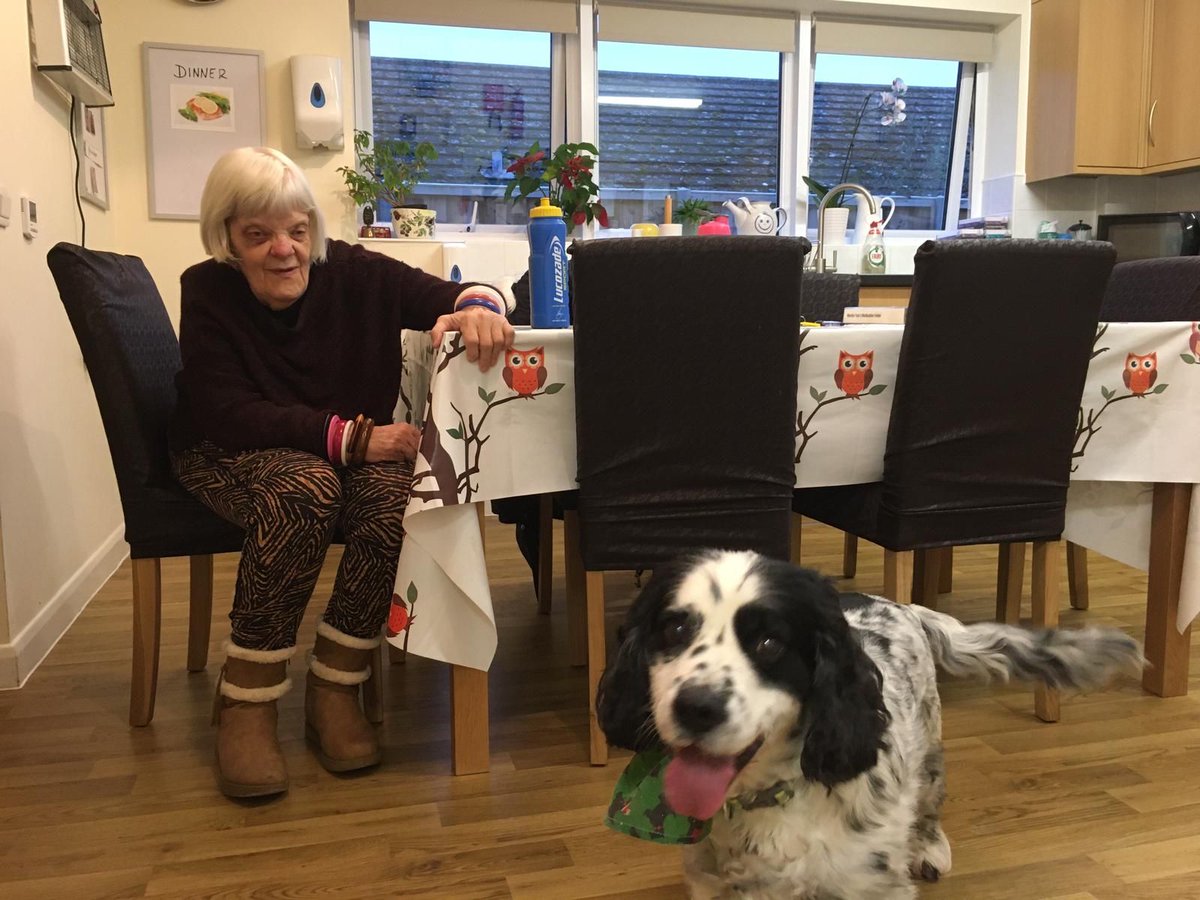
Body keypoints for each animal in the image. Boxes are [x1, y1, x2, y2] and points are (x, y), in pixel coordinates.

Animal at [597, 550, 1143, 899]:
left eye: (770, 643)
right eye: (675, 628)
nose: (696, 707)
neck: (772, 796)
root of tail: (906, 605)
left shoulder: (865, 885)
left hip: (930, 749)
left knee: (929, 802)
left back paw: (929, 845)